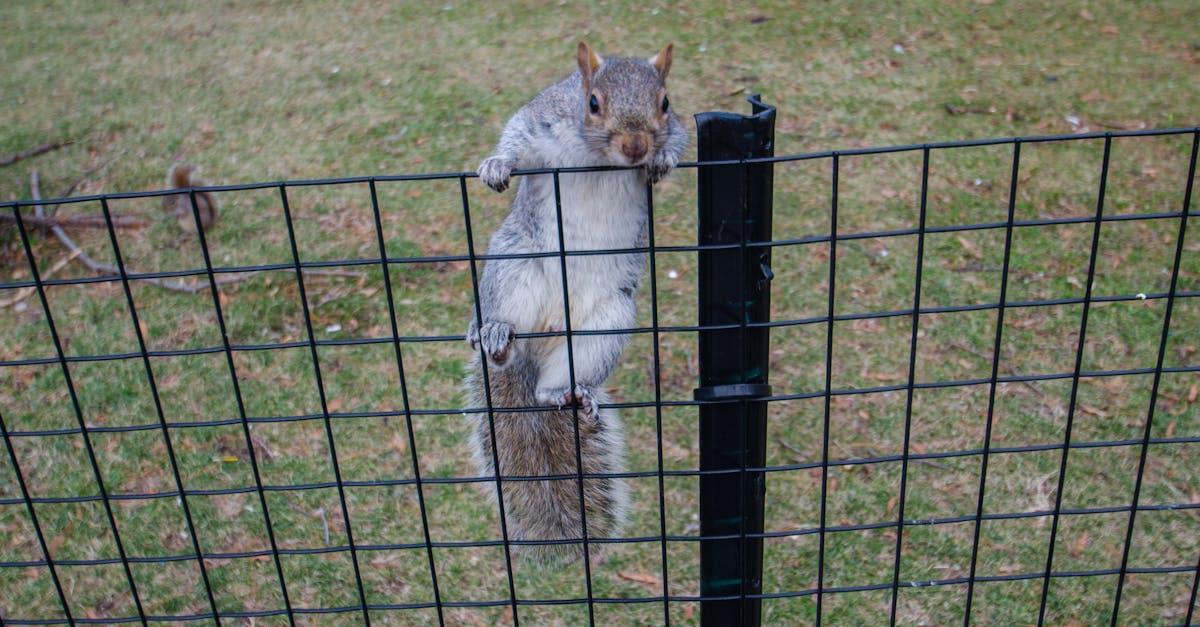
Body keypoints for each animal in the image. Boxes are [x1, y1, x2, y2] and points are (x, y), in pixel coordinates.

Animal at [464, 42, 688, 563]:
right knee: (501, 340)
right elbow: (516, 133)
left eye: (665, 103)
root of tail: (545, 334)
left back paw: (566, 394)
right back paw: (497, 335)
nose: (636, 148)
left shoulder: (677, 126)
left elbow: (682, 139)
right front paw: (496, 164)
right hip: (515, 265)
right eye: (592, 103)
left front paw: (663, 159)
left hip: (606, 322)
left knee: (555, 385)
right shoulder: (544, 120)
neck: (598, 156)